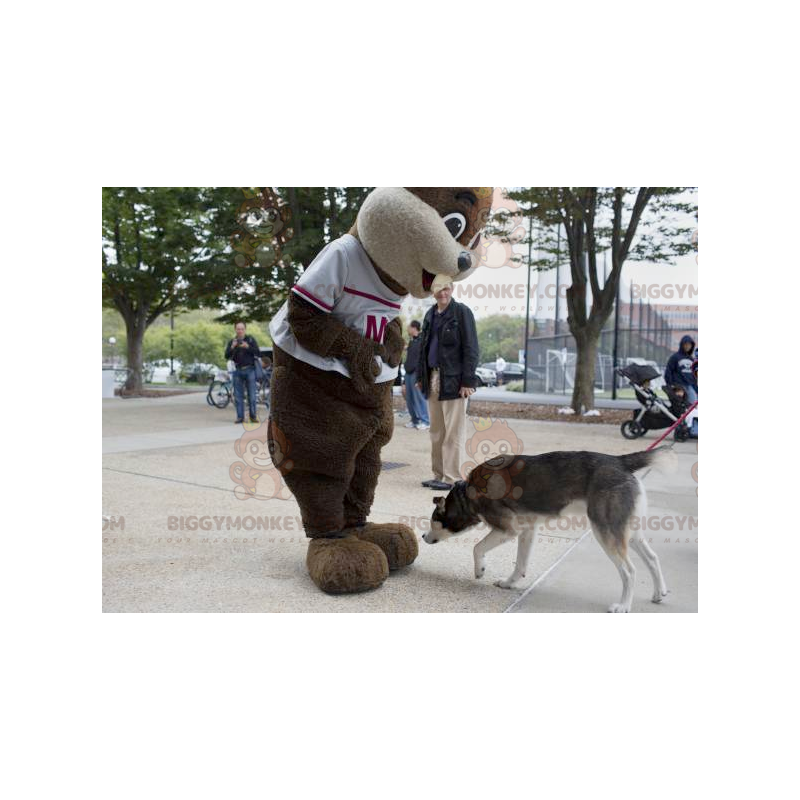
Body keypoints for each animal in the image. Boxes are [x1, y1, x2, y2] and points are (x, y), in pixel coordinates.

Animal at [422, 444, 680, 612]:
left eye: (433, 520)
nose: (423, 536)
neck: (467, 493)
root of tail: (619, 461)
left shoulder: (508, 529)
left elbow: (477, 548)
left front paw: (480, 570)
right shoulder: (527, 530)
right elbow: (520, 564)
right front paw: (509, 583)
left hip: (606, 533)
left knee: (630, 571)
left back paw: (624, 606)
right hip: (629, 532)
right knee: (652, 558)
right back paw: (659, 592)